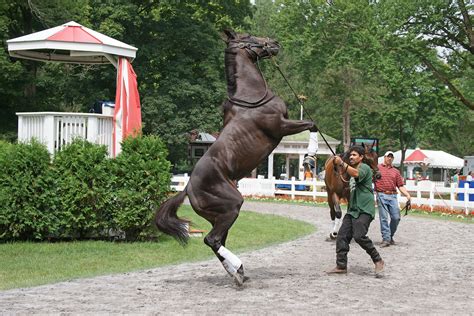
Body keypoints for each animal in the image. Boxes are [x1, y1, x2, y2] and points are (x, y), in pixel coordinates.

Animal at [156, 30, 318, 286]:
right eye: (250, 37)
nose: (274, 43)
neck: (251, 97)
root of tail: (188, 188)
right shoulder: (281, 126)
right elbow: (312, 124)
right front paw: (309, 159)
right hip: (232, 206)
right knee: (212, 240)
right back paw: (238, 270)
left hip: (219, 215)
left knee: (217, 241)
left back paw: (236, 272)